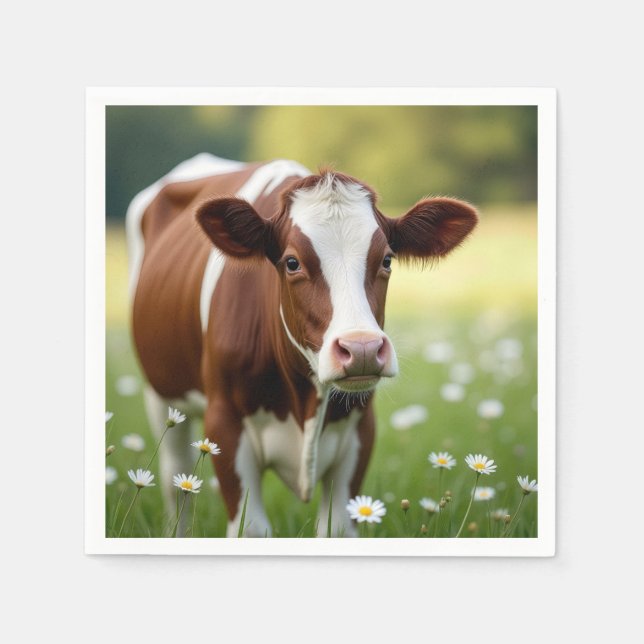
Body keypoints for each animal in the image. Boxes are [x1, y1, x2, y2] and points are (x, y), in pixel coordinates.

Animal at [126, 153, 477, 537]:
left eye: (386, 259)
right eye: (292, 262)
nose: (363, 349)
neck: (304, 401)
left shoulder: (360, 429)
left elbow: (336, 528)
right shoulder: (224, 422)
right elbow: (251, 529)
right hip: (161, 393)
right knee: (177, 481)